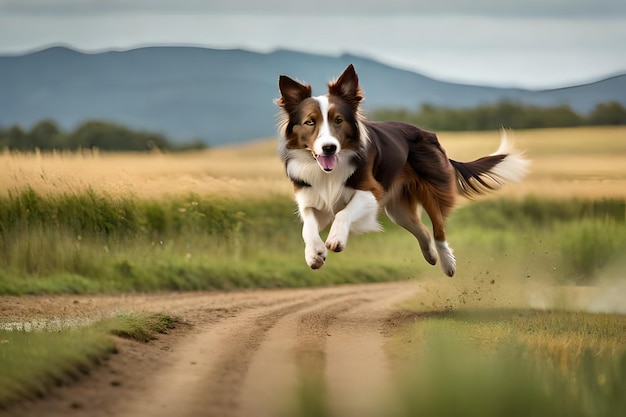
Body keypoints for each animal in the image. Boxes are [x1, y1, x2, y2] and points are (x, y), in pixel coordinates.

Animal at [276, 64, 524, 276]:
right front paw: (314, 254)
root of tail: (428, 133)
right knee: (423, 230)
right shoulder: (312, 199)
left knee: (438, 230)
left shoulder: (371, 191)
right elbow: (307, 227)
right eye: (310, 122)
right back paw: (430, 255)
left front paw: (336, 239)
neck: (329, 170)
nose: (329, 148)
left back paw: (447, 264)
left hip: (431, 190)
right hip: (399, 210)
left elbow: (343, 213)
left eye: (338, 120)